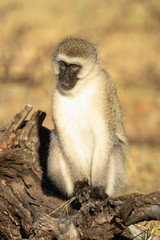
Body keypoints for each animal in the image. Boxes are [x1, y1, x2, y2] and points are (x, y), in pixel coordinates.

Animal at [47, 38, 127, 199]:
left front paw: (98, 189)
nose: (64, 77)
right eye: (62, 64)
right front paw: (81, 185)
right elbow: (65, 136)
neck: (81, 88)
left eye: (74, 66)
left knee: (114, 144)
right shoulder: (57, 95)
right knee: (56, 139)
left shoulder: (104, 88)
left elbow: (105, 135)